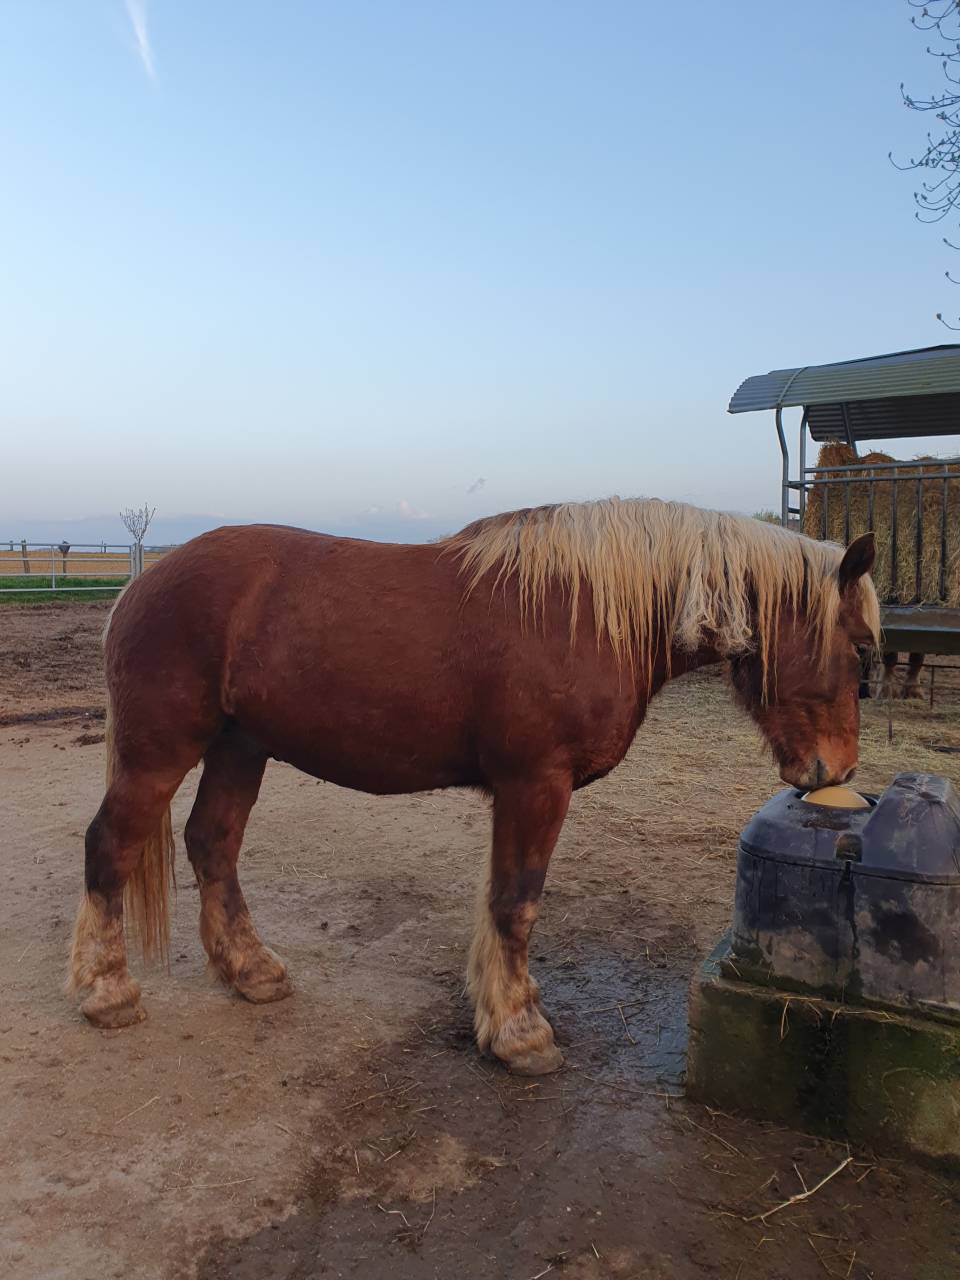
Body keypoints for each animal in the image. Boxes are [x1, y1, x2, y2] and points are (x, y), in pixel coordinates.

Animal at [68, 499, 879, 1076]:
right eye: (862, 648)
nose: (834, 771)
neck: (583, 612)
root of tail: (142, 585)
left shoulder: (519, 794)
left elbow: (498, 903)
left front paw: (502, 1011)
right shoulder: (536, 786)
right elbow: (517, 905)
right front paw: (521, 1035)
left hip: (241, 748)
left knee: (214, 846)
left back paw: (250, 971)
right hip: (159, 755)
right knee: (110, 847)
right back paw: (106, 991)